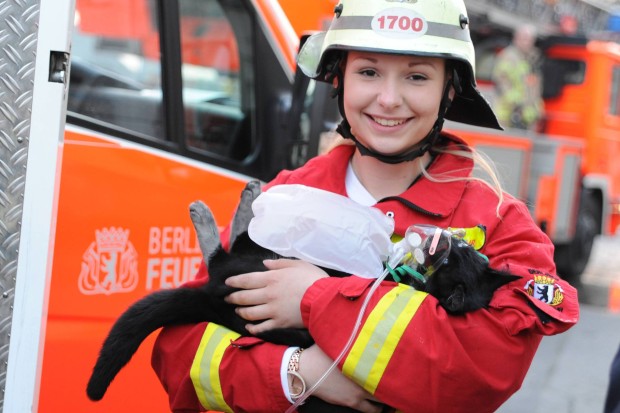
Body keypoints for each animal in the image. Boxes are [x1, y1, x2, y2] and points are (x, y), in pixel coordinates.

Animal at [83, 182, 520, 410]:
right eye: (466, 249)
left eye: (453, 255)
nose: (452, 237)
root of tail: (214, 301)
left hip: (251, 265)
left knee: (223, 253)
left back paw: (221, 212)